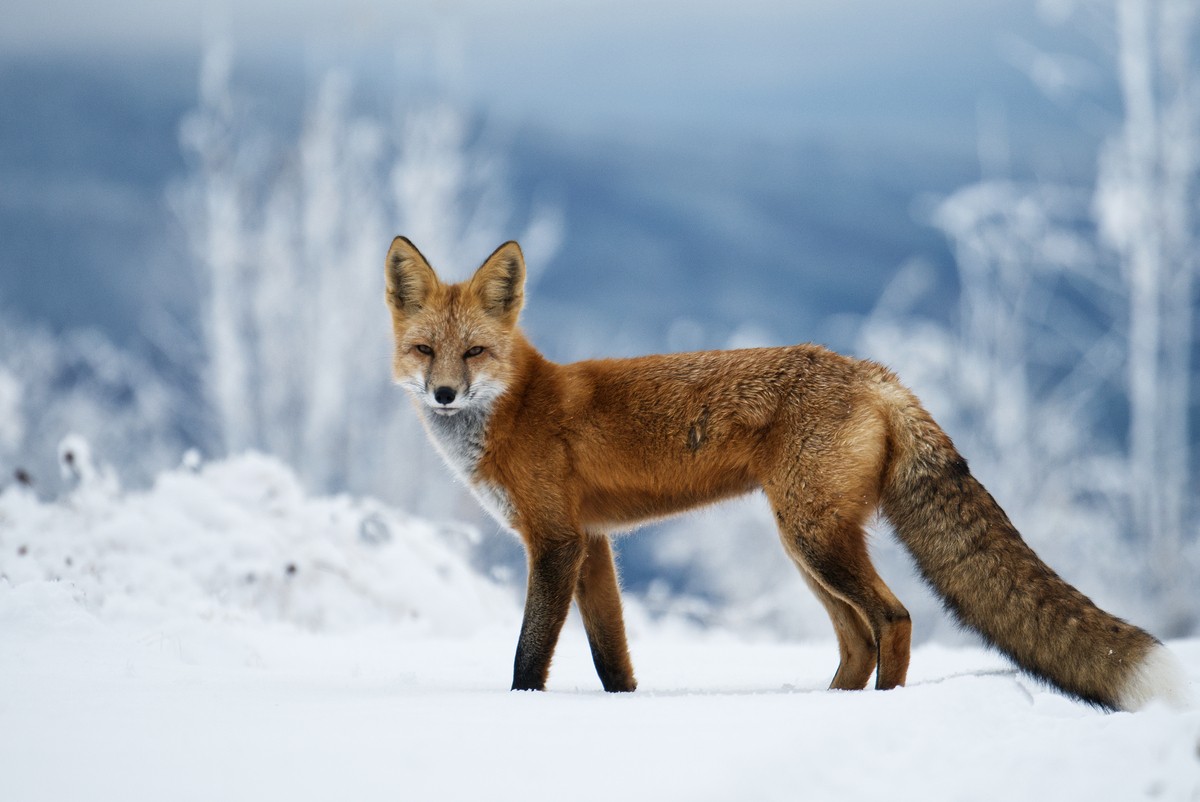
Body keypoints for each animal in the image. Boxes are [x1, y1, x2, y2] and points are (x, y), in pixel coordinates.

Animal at [384, 235, 1188, 711]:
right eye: (425, 350)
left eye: (475, 352)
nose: (444, 394)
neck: (513, 409)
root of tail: (874, 373)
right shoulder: (595, 544)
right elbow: (614, 660)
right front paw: (624, 714)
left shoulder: (555, 542)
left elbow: (529, 654)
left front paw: (521, 716)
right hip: (805, 546)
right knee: (857, 640)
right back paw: (827, 709)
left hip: (813, 539)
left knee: (893, 619)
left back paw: (878, 718)